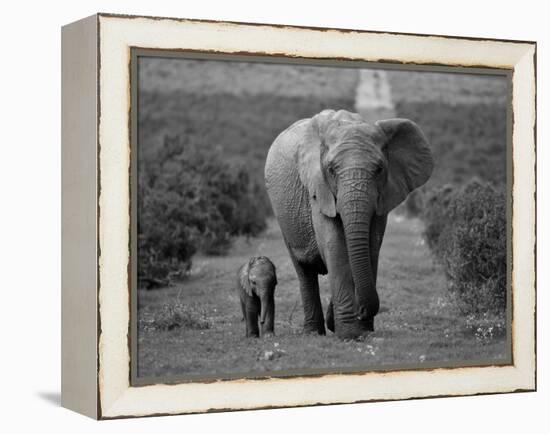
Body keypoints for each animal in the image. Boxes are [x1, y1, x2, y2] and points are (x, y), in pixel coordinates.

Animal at [268, 108, 436, 340]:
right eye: (331, 169)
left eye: (379, 169)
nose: (362, 311)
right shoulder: (318, 190)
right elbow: (336, 246)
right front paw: (349, 334)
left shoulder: (382, 196)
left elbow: (371, 246)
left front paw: (362, 330)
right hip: (284, 217)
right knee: (304, 270)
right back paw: (313, 333)